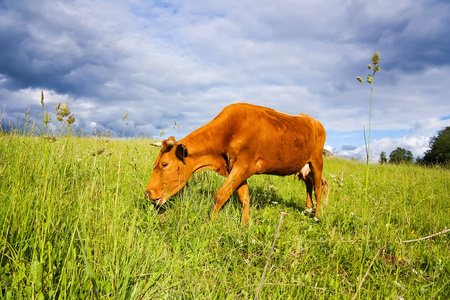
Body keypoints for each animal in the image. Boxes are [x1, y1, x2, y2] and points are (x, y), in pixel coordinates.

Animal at [146, 102, 328, 223]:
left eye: (164, 164)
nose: (148, 192)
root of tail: (314, 121)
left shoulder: (244, 166)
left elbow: (220, 195)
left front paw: (208, 224)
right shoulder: (236, 168)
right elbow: (244, 197)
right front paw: (245, 225)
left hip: (317, 160)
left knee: (318, 188)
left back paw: (317, 215)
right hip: (304, 166)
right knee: (311, 183)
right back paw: (309, 208)